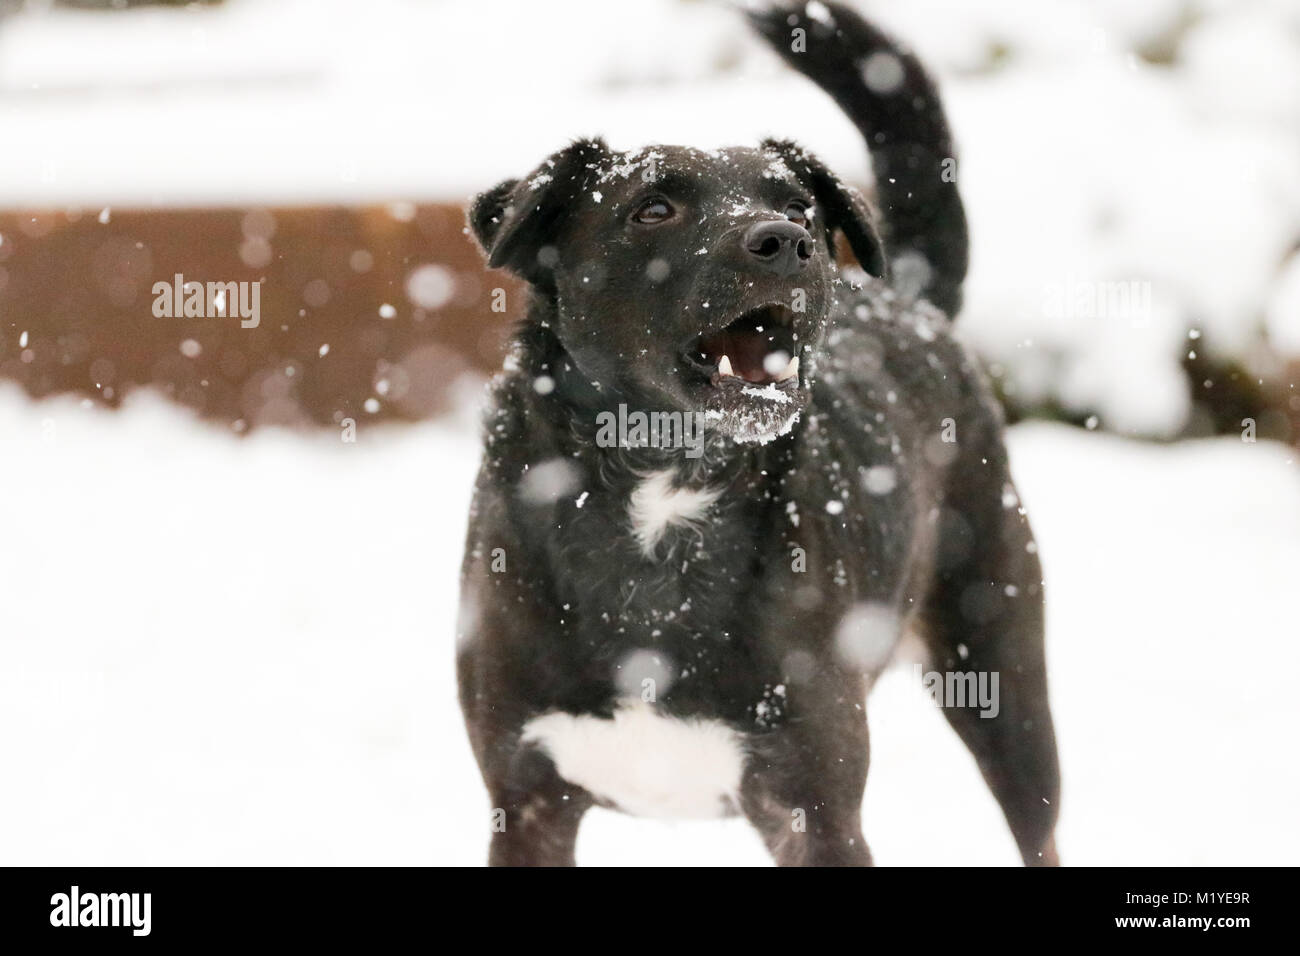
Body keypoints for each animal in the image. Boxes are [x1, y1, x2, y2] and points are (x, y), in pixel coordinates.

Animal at [457, 1, 1055, 868]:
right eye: (652, 209)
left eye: (800, 206)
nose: (786, 240)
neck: (663, 490)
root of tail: (910, 300)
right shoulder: (526, 802)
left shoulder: (817, 810)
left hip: (1006, 688)